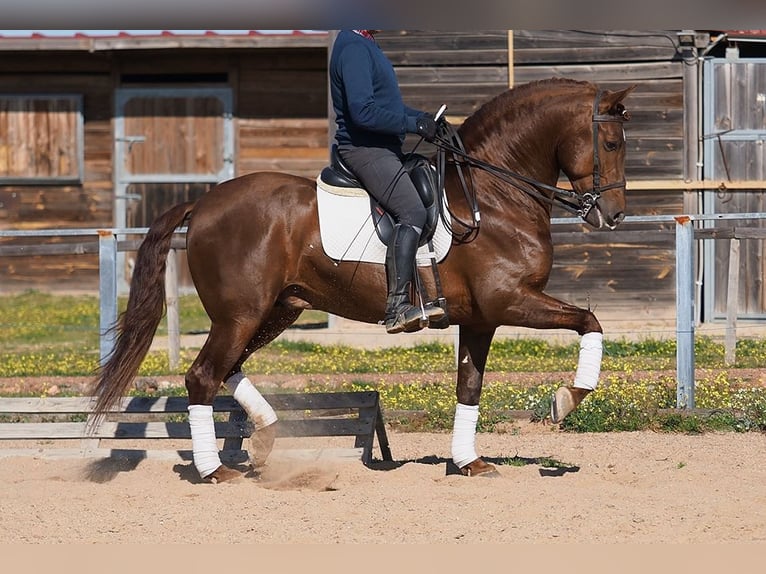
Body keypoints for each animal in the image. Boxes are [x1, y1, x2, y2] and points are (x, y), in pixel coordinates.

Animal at [93, 75, 640, 482]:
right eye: (612, 143)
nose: (613, 215)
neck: (493, 194)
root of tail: (204, 202)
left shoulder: (482, 319)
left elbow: (469, 387)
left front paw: (469, 462)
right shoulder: (511, 300)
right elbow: (590, 321)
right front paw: (567, 399)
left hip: (276, 310)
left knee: (228, 369)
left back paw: (265, 438)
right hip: (241, 314)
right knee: (203, 375)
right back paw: (213, 471)